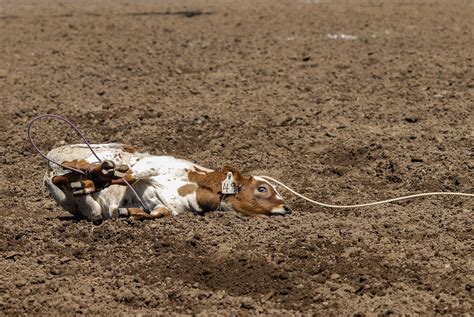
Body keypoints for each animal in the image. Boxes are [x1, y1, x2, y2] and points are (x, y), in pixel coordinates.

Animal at [44, 143, 290, 220]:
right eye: (262, 189)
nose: (287, 208)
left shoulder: (164, 205)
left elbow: (160, 212)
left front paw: (128, 212)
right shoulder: (149, 165)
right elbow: (128, 176)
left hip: (89, 207)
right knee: (75, 167)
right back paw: (92, 173)